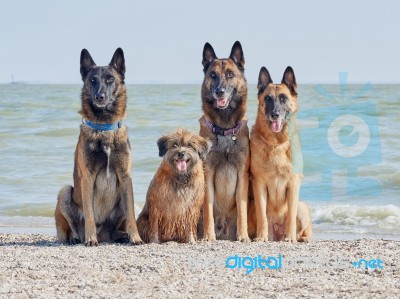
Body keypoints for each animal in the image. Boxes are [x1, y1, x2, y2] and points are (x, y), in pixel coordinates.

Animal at [54, 48, 142, 246]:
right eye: (93, 80)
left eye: (110, 79)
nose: (99, 97)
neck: (104, 127)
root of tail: (105, 235)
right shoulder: (88, 177)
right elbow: (89, 214)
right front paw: (90, 238)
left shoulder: (126, 177)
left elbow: (131, 215)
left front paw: (136, 237)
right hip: (65, 192)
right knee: (71, 227)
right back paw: (76, 237)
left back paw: (121, 236)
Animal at [250, 67, 312, 243]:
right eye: (268, 98)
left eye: (283, 98)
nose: (275, 114)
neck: (277, 144)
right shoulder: (259, 184)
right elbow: (262, 216)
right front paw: (261, 237)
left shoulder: (293, 183)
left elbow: (290, 216)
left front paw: (289, 237)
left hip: (302, 207)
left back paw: (301, 238)